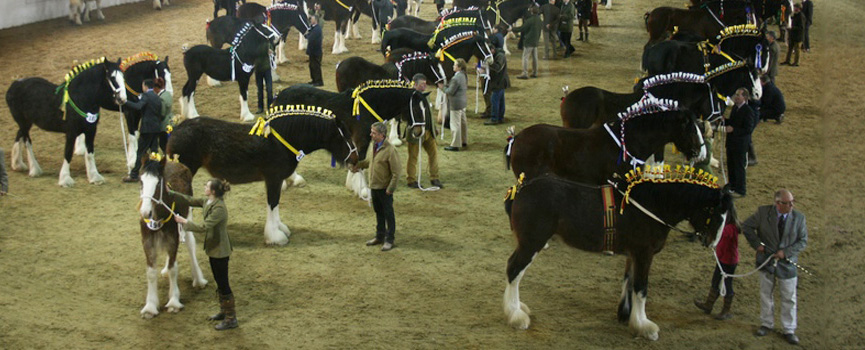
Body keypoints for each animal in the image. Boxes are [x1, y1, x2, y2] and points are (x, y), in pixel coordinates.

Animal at [6, 57, 126, 187]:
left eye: (123, 77)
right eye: (112, 78)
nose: (123, 99)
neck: (80, 98)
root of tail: (15, 84)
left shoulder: (91, 130)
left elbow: (90, 153)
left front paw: (95, 177)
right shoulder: (71, 132)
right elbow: (68, 153)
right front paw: (65, 179)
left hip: (27, 122)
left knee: (19, 135)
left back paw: (17, 164)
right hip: (22, 121)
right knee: (27, 141)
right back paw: (35, 170)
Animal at [138, 156, 208, 320]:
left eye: (158, 182)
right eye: (141, 181)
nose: (145, 213)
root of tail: (175, 162)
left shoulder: (174, 239)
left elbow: (173, 269)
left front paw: (174, 302)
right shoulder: (147, 242)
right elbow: (151, 272)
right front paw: (150, 307)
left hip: (187, 218)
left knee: (190, 245)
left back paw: (198, 279)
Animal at [165, 106, 358, 246]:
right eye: (344, 137)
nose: (356, 159)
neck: (284, 140)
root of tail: (176, 129)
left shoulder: (276, 180)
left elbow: (276, 205)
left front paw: (280, 229)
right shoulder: (273, 179)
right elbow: (272, 204)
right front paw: (275, 237)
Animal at [502, 170, 732, 340]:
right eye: (717, 214)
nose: (713, 242)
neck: (652, 206)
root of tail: (521, 189)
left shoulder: (633, 254)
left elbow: (629, 281)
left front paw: (626, 314)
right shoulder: (644, 254)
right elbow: (641, 288)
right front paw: (644, 326)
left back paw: (517, 308)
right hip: (532, 243)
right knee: (514, 270)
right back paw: (516, 316)